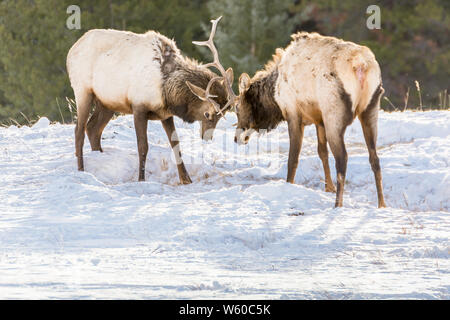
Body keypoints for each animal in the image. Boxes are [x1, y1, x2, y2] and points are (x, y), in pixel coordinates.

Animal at [68, 16, 236, 185]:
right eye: (207, 114)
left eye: (221, 115)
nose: (207, 137)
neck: (166, 91)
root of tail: (71, 51)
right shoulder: (139, 107)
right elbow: (143, 147)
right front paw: (141, 179)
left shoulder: (165, 114)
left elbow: (176, 145)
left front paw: (186, 179)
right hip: (82, 91)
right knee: (79, 130)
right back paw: (81, 170)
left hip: (107, 102)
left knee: (93, 128)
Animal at [234, 31, 384, 208]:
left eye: (237, 107)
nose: (237, 138)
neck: (274, 95)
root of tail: (361, 65)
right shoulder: (319, 119)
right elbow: (322, 152)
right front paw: (329, 187)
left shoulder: (293, 113)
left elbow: (293, 158)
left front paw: (289, 186)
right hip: (370, 109)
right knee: (374, 158)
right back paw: (382, 204)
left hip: (334, 113)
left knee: (342, 158)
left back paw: (337, 205)